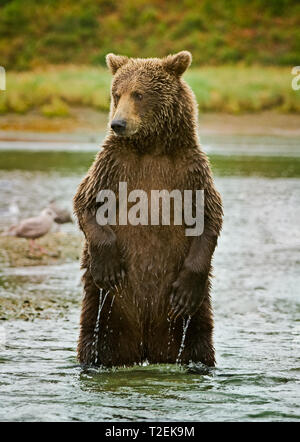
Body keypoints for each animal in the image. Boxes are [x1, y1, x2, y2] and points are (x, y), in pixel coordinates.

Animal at [73, 51, 223, 368]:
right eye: (116, 94)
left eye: (139, 94)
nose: (117, 124)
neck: (152, 147)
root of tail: (145, 347)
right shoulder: (113, 164)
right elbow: (86, 201)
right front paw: (109, 265)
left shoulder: (190, 171)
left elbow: (209, 216)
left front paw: (185, 290)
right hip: (105, 308)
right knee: (94, 338)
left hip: (192, 318)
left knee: (199, 341)